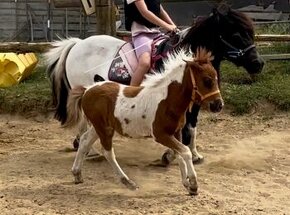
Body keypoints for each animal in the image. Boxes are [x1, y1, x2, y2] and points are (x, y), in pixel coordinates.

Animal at [45, 4, 266, 164]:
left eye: (251, 33)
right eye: (236, 35)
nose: (258, 64)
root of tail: (77, 44)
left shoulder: (196, 100)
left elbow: (192, 126)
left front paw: (194, 154)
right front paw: (170, 154)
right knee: (84, 120)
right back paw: (89, 150)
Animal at [64, 47, 223, 196]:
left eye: (216, 78)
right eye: (207, 80)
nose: (218, 105)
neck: (167, 100)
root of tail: (87, 90)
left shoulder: (176, 132)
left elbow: (179, 154)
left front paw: (186, 183)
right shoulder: (160, 135)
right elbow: (186, 152)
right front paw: (194, 185)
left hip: (100, 126)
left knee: (85, 141)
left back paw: (77, 174)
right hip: (103, 128)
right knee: (108, 152)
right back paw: (128, 182)